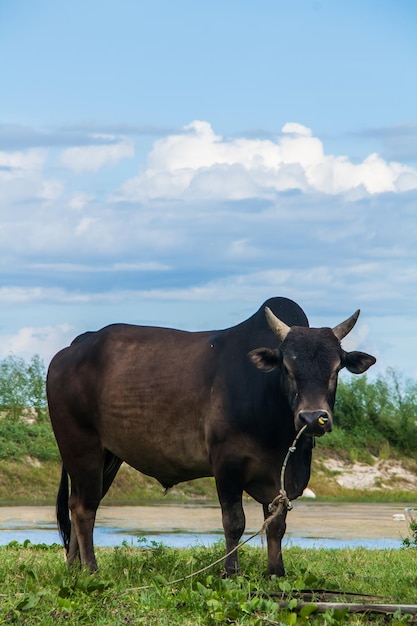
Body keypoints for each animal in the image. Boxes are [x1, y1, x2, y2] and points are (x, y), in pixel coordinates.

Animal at [47, 298, 376, 576]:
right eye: (287, 367)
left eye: (336, 368)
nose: (312, 418)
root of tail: (77, 345)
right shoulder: (227, 464)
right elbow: (234, 522)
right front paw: (231, 571)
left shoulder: (279, 477)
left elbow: (276, 525)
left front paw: (275, 573)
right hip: (81, 446)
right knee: (84, 507)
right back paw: (91, 569)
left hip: (107, 456)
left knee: (79, 503)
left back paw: (74, 567)